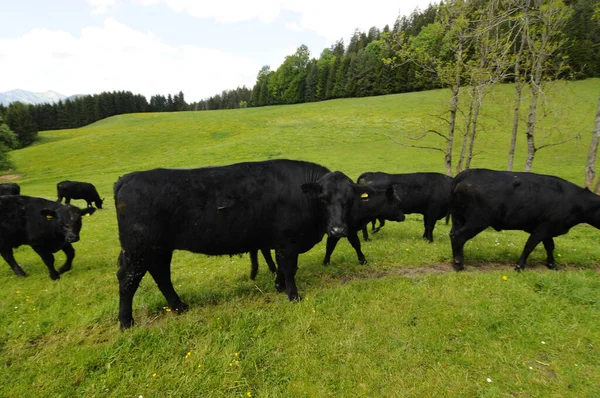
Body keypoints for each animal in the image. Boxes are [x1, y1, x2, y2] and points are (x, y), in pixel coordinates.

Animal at [114, 159, 404, 330]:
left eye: (349, 199)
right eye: (323, 198)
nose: (337, 230)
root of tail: (127, 178)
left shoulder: (278, 241)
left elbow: (280, 267)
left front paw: (278, 286)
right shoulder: (289, 240)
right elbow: (289, 268)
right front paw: (293, 295)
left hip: (158, 248)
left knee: (160, 274)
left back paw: (179, 306)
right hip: (139, 249)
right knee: (128, 279)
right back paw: (127, 322)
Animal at [448, 168, 600, 270]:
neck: (575, 201)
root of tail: (465, 174)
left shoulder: (547, 229)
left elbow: (550, 247)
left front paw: (552, 265)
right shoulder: (543, 228)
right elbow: (529, 246)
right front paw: (519, 266)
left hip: (458, 218)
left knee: (453, 235)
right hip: (478, 220)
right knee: (458, 237)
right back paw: (459, 265)